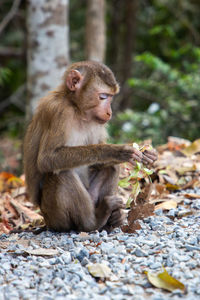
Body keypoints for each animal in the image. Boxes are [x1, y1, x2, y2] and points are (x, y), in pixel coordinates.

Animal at [23, 61, 158, 232]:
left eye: (111, 97)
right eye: (103, 97)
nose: (109, 112)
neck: (76, 108)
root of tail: (46, 220)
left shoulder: (96, 122)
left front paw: (148, 153)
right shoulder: (58, 112)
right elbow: (47, 159)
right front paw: (116, 151)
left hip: (92, 198)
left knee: (111, 167)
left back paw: (112, 218)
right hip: (55, 217)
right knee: (62, 174)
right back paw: (93, 222)